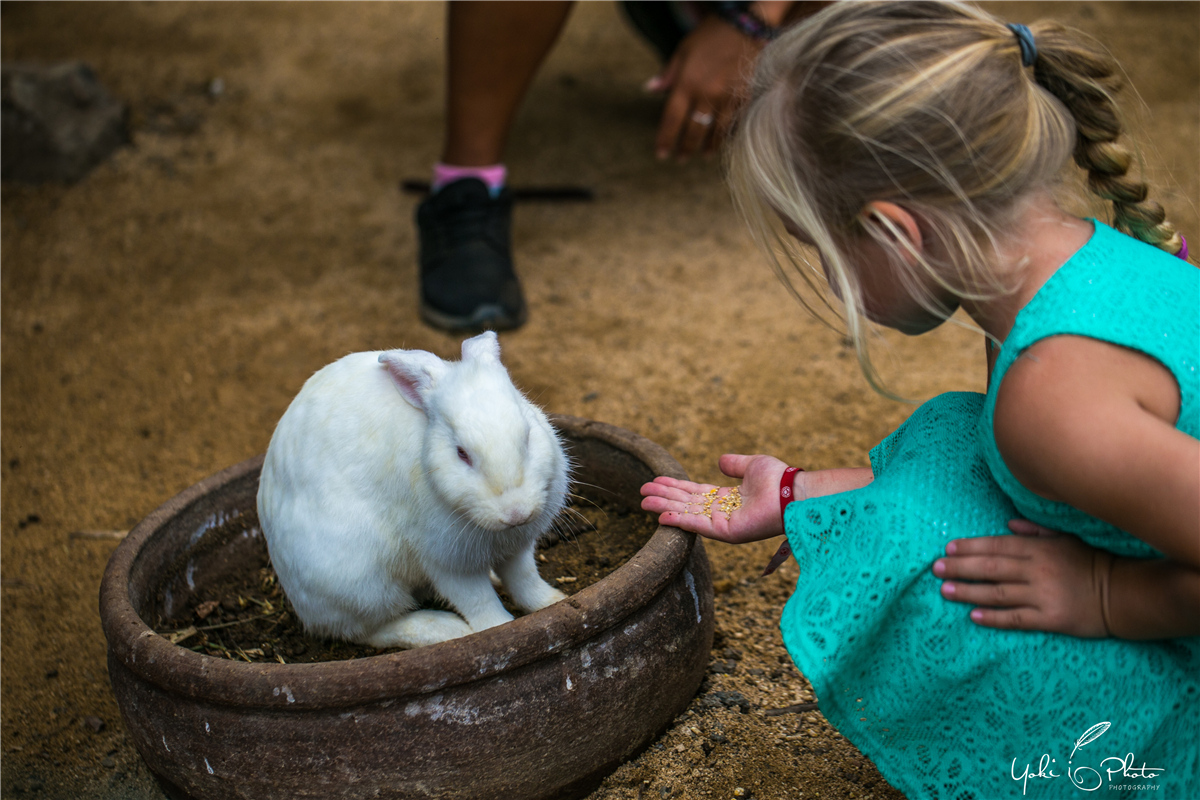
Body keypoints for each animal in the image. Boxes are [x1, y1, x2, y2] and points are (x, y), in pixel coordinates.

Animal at [258, 331, 566, 652]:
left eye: (527, 435)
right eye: (461, 453)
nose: (516, 513)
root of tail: (300, 605)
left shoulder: (518, 548)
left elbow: (525, 580)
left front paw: (554, 602)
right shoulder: (449, 564)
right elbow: (479, 603)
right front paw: (500, 629)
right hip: (361, 585)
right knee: (368, 630)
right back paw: (447, 629)